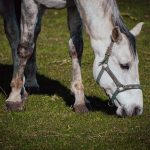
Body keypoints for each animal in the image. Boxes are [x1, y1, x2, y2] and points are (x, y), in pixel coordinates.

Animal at [1, 0, 144, 117]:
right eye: (124, 65)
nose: (136, 109)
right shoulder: (29, 3)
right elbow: (24, 48)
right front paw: (14, 98)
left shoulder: (74, 7)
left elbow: (76, 48)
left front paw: (80, 100)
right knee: (14, 35)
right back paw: (21, 90)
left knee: (35, 32)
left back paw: (31, 82)